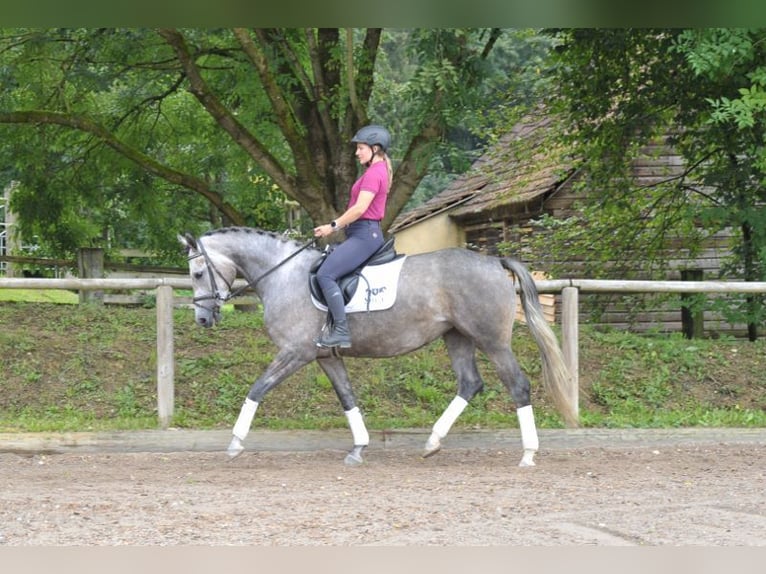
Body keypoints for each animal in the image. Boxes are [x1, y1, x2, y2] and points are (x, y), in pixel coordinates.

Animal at [180, 226, 576, 468]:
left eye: (198, 273)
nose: (202, 319)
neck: (283, 275)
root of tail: (494, 262)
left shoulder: (296, 352)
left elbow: (257, 389)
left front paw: (235, 443)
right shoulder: (325, 356)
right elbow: (347, 397)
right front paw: (359, 448)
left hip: (492, 340)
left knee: (517, 386)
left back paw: (528, 454)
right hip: (456, 336)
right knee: (470, 383)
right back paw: (432, 442)